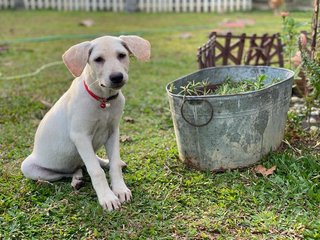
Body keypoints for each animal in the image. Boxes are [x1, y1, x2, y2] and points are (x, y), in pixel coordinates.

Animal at [21, 34, 151, 211]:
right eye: (98, 59)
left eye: (122, 55)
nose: (117, 77)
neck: (104, 100)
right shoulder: (80, 136)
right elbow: (96, 171)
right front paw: (107, 197)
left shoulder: (113, 132)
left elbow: (114, 164)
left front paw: (120, 189)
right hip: (29, 167)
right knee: (70, 171)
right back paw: (76, 179)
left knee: (85, 163)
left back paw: (102, 163)